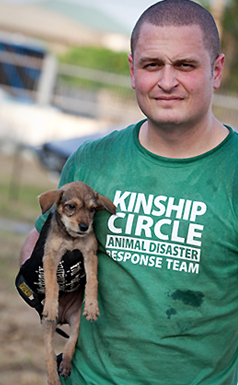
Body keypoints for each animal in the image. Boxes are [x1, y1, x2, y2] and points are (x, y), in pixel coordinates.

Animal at [37, 182, 115, 384]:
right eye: (71, 206)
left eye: (92, 209)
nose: (84, 227)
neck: (72, 239)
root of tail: (63, 318)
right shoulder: (50, 257)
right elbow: (52, 283)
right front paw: (51, 304)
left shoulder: (90, 255)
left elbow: (93, 281)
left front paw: (92, 306)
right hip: (48, 326)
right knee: (49, 353)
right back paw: (54, 377)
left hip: (77, 323)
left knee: (70, 345)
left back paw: (65, 365)